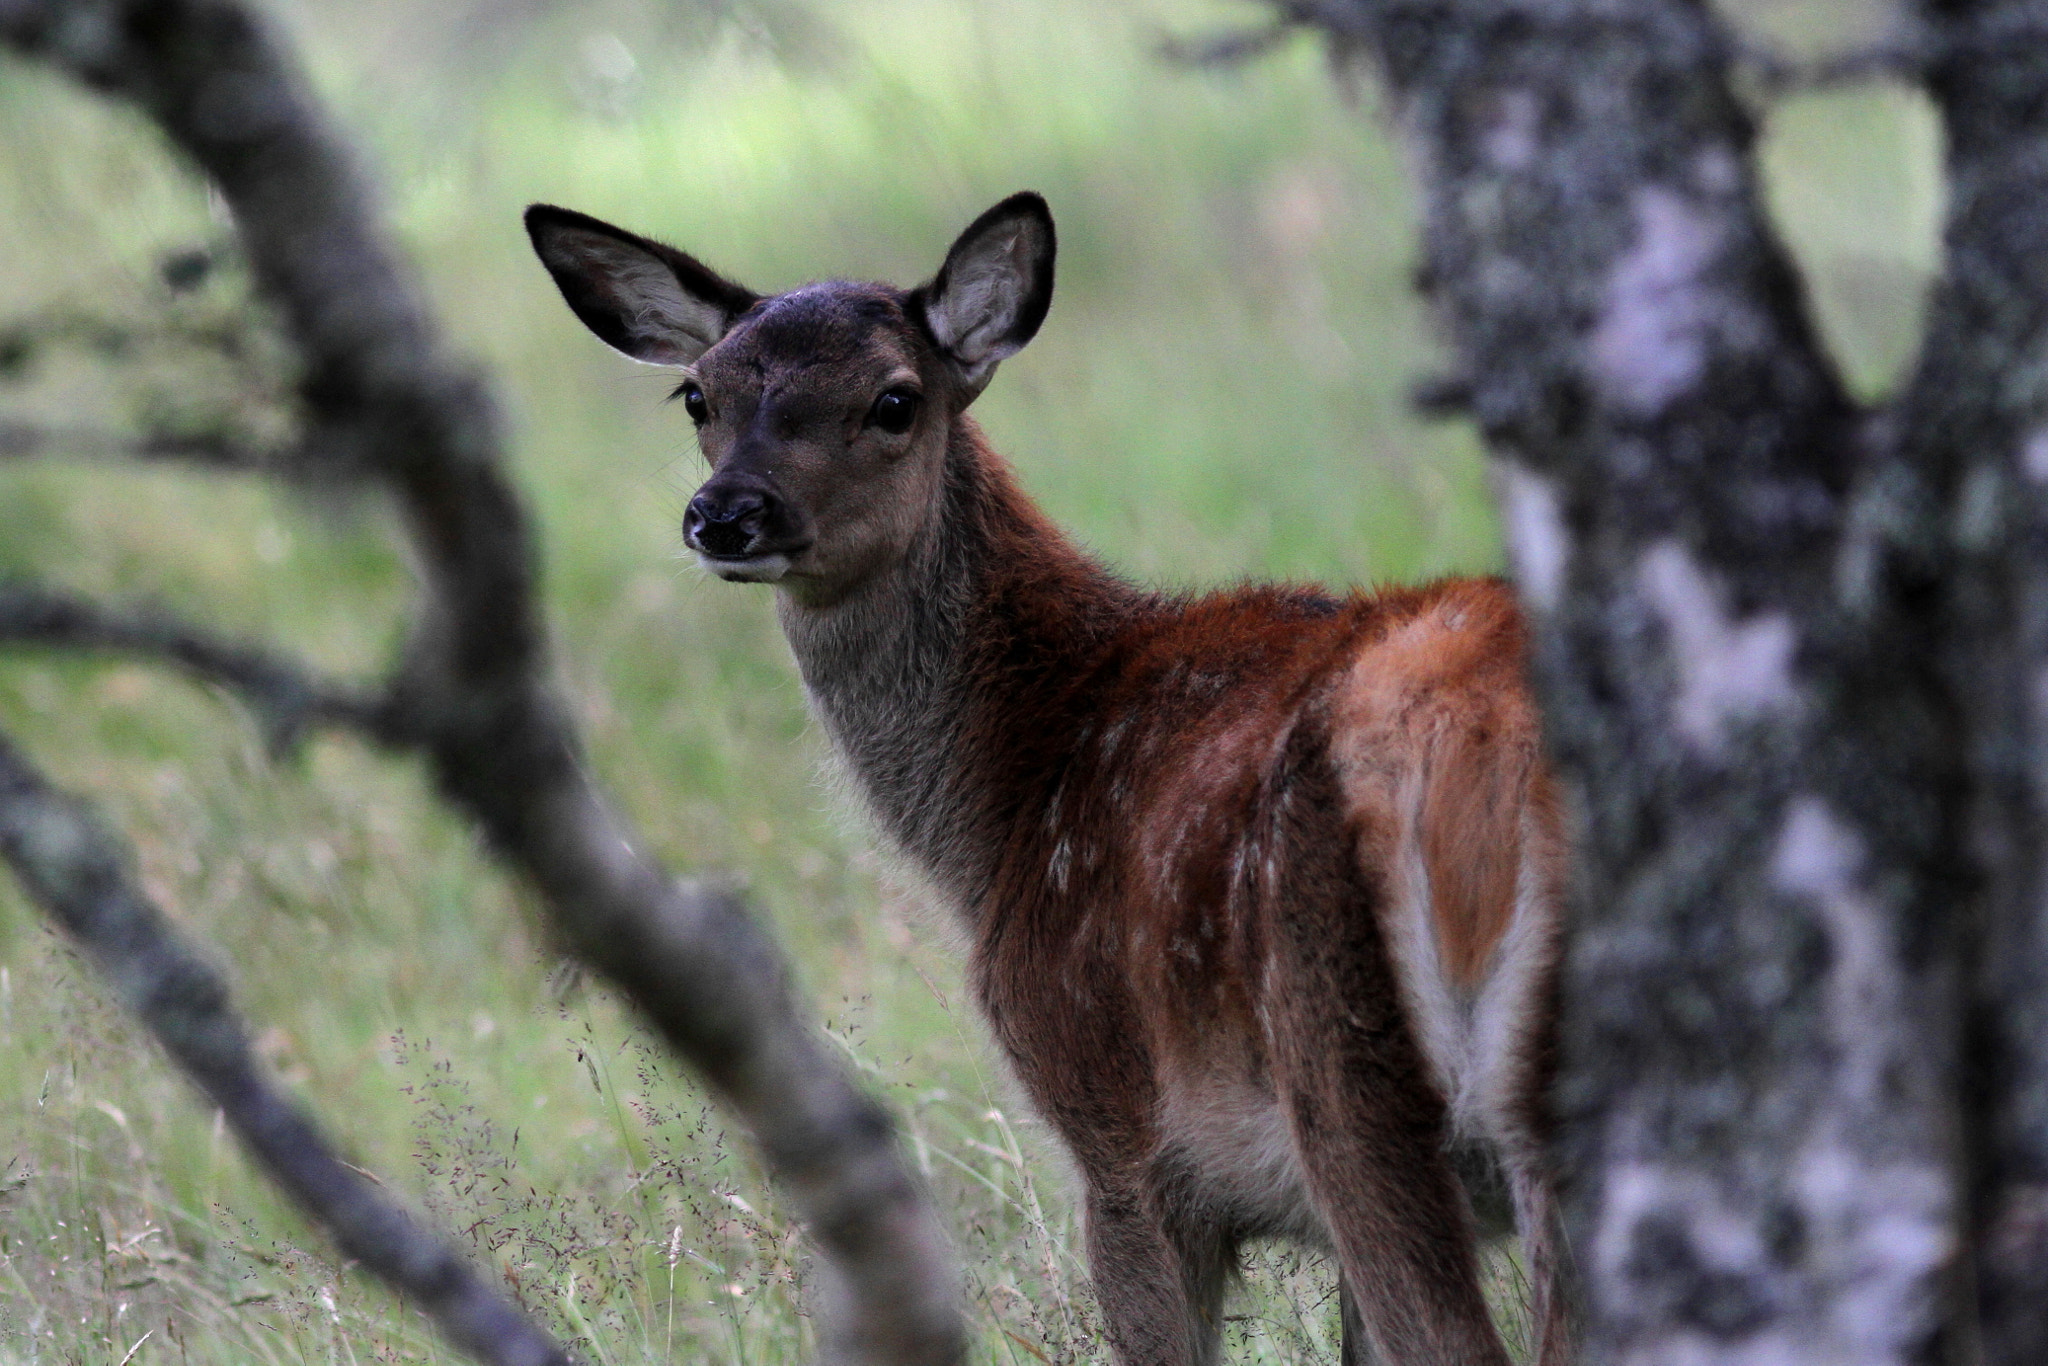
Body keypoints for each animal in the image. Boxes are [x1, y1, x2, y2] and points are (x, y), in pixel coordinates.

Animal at [524, 192, 1571, 1366]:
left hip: (1342, 1066)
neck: (1003, 811)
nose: (726, 513)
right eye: (699, 393)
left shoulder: (1114, 1129)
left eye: (894, 400)